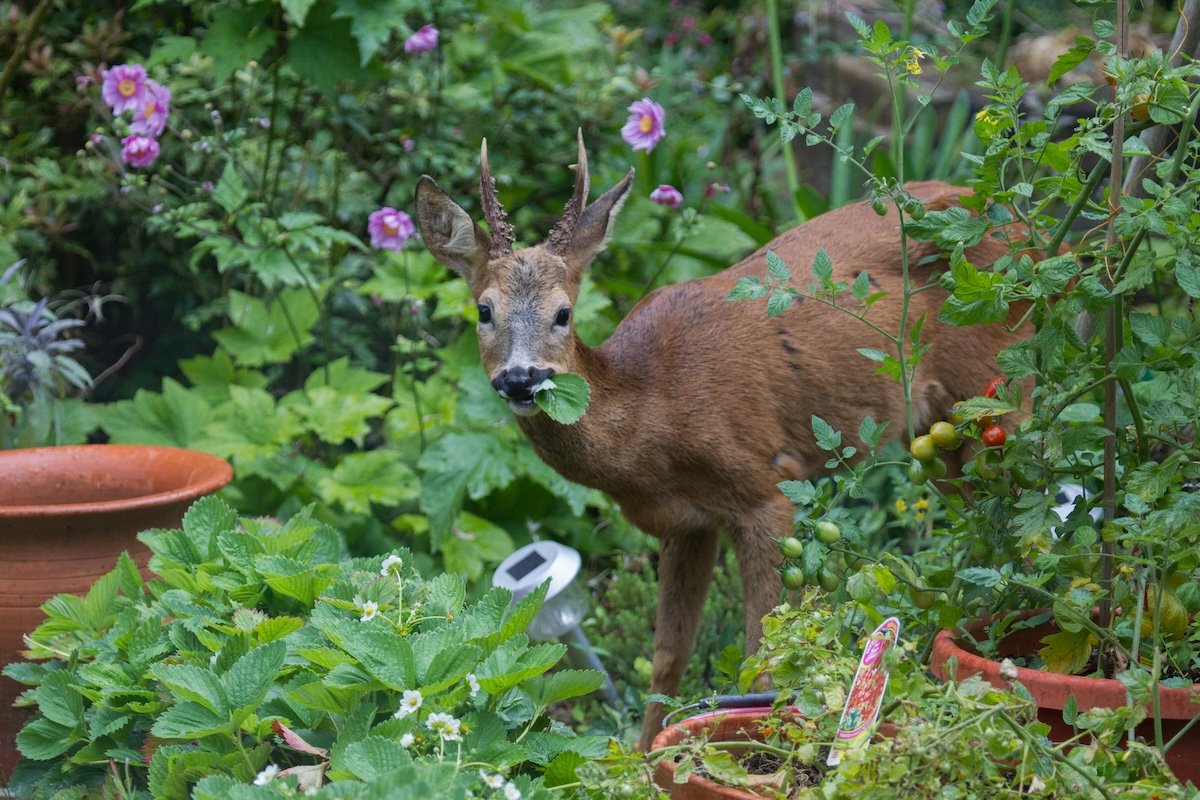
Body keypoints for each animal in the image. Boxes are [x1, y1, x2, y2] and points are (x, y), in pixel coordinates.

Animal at [414, 131, 1033, 750]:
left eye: (563, 313)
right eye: (484, 310)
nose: (521, 379)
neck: (655, 411)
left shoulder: (766, 488)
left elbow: (763, 655)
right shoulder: (683, 523)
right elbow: (667, 654)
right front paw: (643, 758)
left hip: (999, 387)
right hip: (937, 434)